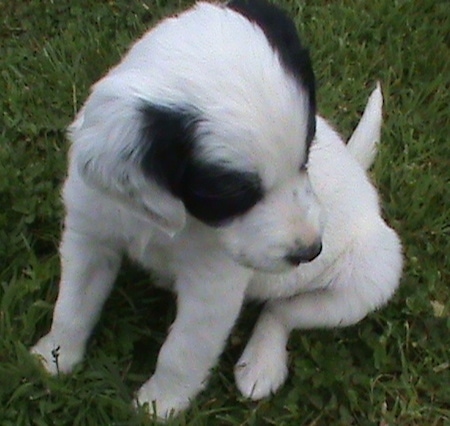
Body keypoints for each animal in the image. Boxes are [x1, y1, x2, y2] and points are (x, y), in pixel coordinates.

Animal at [31, 0, 402, 420]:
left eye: (306, 157)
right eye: (232, 195)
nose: (310, 252)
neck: (165, 216)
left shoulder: (213, 288)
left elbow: (182, 351)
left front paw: (159, 404)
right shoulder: (90, 232)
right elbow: (72, 305)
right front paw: (54, 357)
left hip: (371, 276)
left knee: (281, 311)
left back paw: (260, 363)